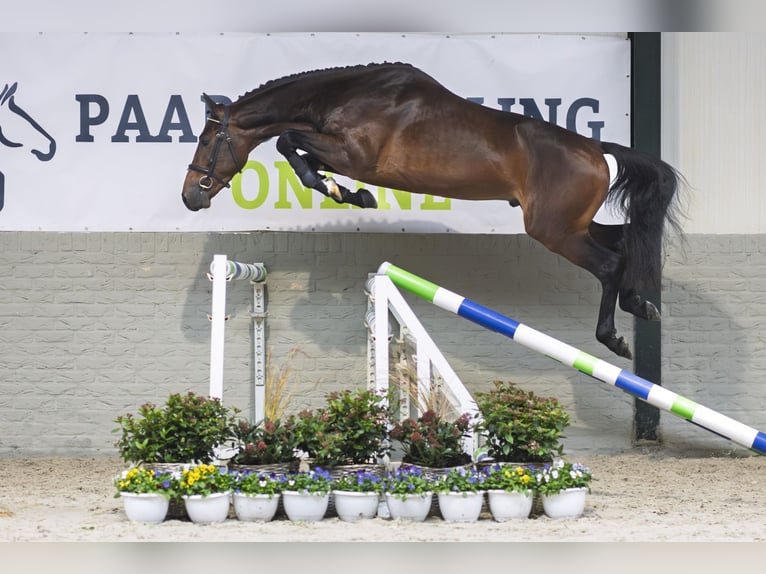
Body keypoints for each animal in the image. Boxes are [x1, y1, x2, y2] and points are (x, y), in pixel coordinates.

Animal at [182, 63, 684, 360]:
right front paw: (348, 194)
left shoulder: (353, 154)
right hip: (570, 224)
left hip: (554, 230)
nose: (190, 197)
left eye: (206, 140)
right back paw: (641, 304)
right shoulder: (340, 154)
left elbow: (289, 142)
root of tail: (597, 149)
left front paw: (345, 193)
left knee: (611, 262)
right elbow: (297, 150)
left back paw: (613, 337)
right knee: (625, 241)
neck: (346, 96)